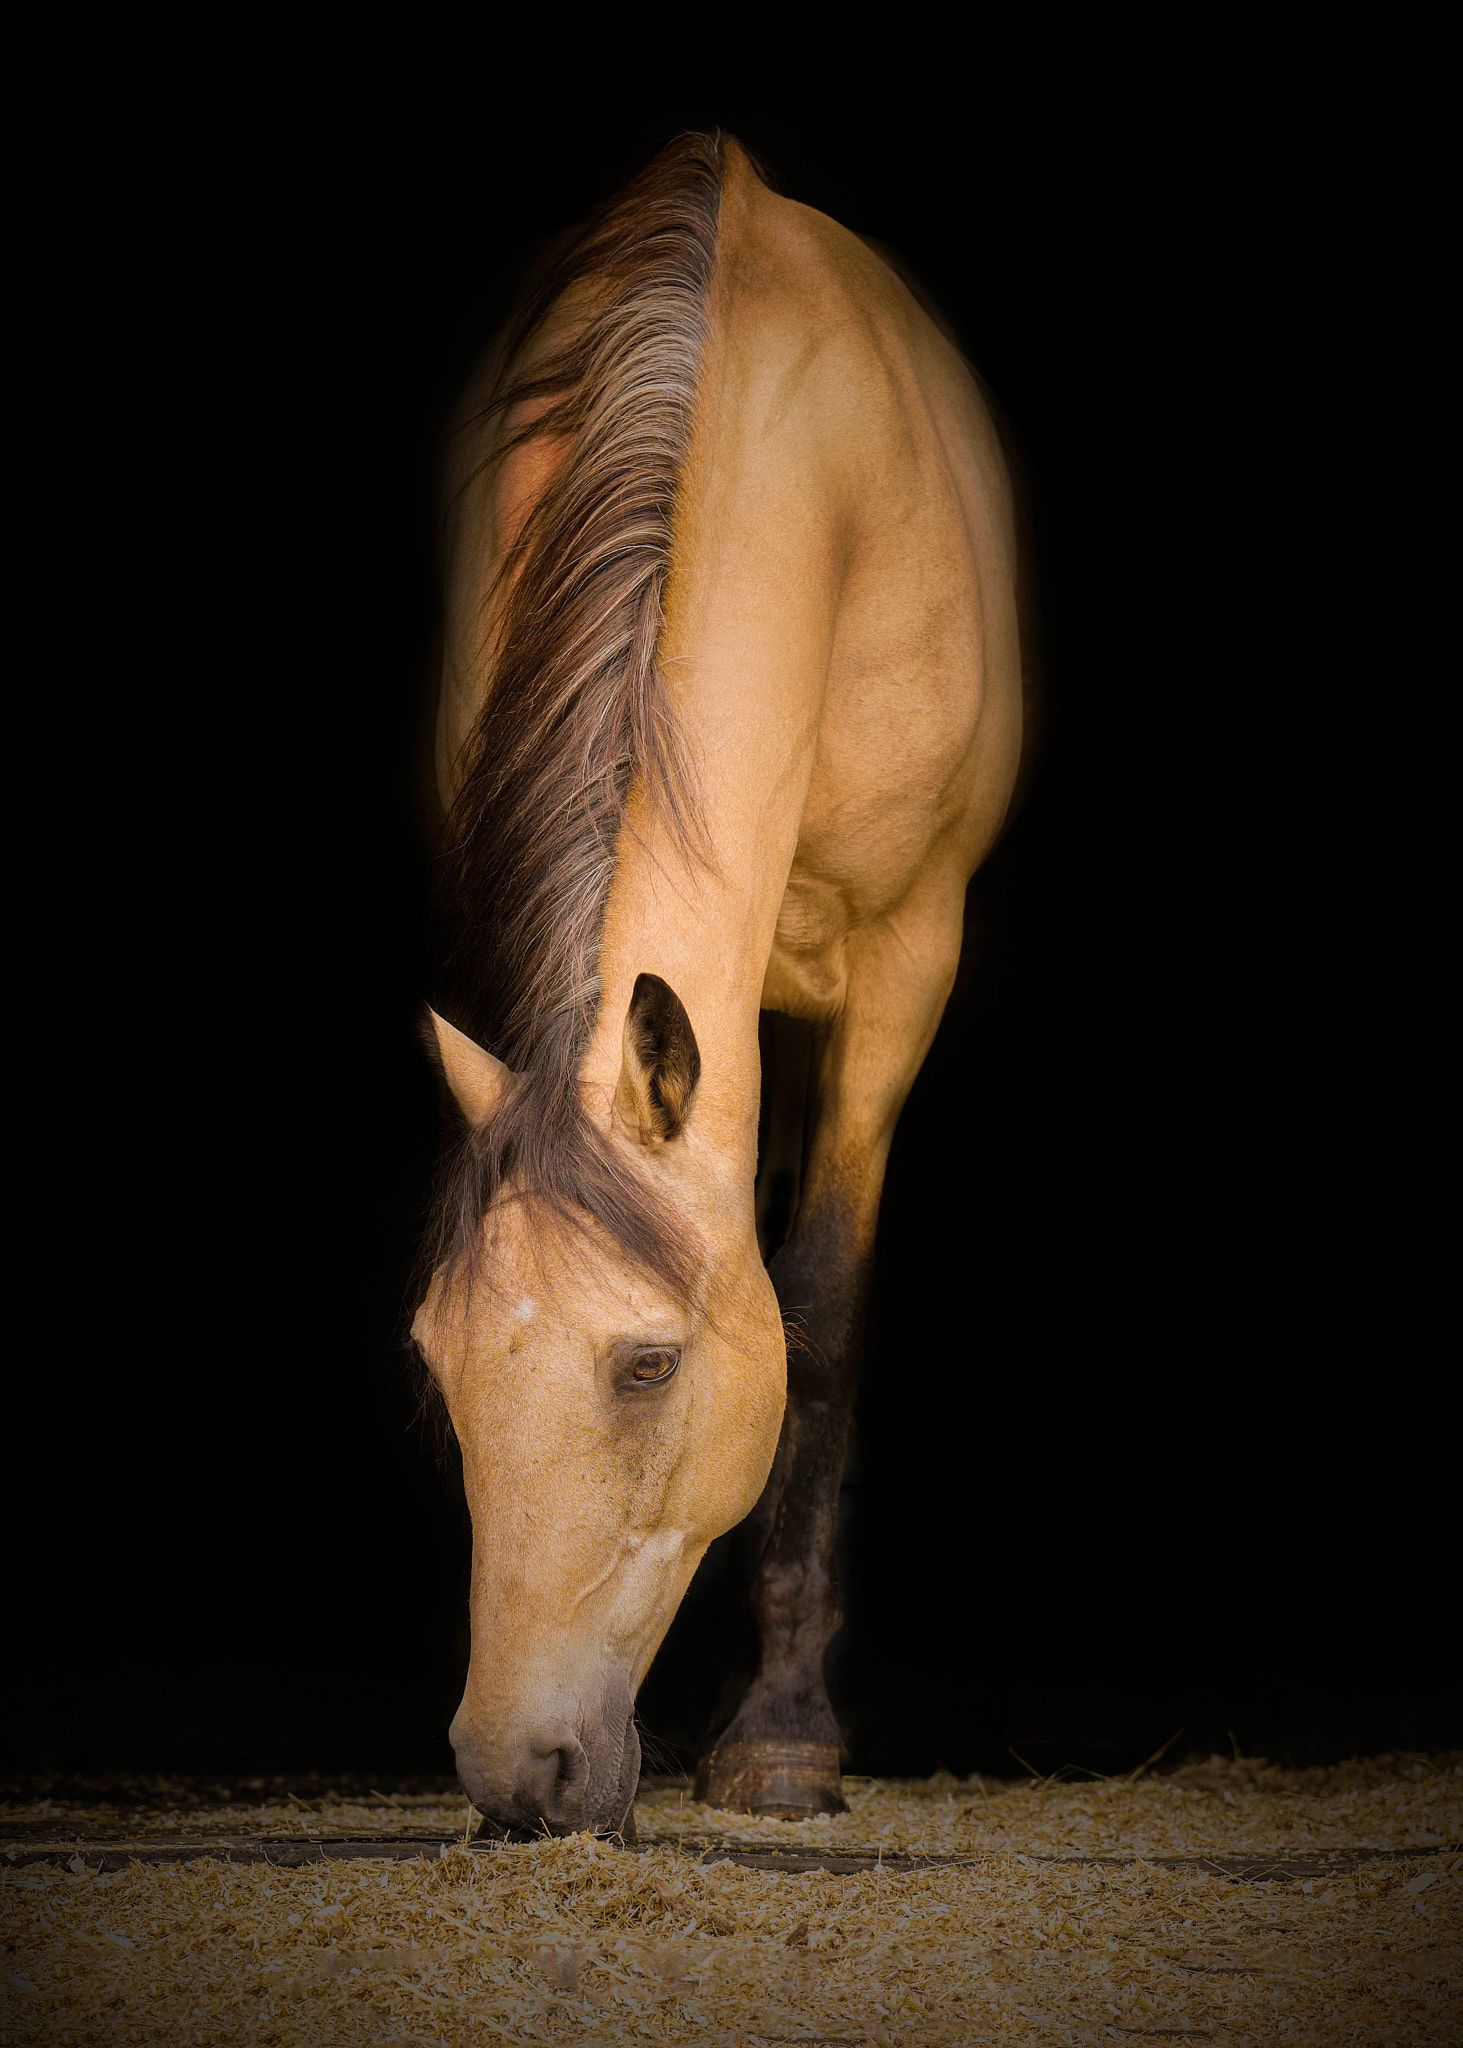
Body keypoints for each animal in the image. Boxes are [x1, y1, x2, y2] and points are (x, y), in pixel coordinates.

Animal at [410, 131, 1024, 1834]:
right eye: (433, 1360)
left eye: (647, 1364)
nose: (517, 1773)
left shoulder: (902, 959)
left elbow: (813, 1310)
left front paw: (781, 1736)